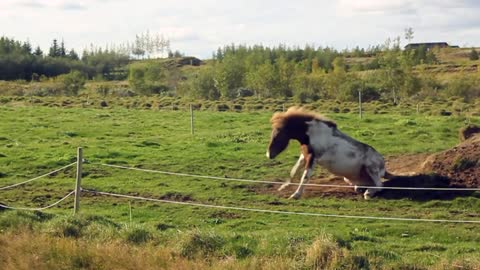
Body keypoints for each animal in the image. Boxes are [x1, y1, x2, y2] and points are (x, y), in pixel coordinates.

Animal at [266, 106, 394, 199]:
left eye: (279, 134)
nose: (269, 154)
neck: (313, 134)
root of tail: (383, 166)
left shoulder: (312, 158)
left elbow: (305, 176)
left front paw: (295, 195)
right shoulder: (304, 156)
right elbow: (294, 171)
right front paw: (283, 187)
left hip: (371, 168)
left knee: (379, 185)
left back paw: (368, 193)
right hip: (348, 179)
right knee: (365, 185)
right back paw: (361, 189)